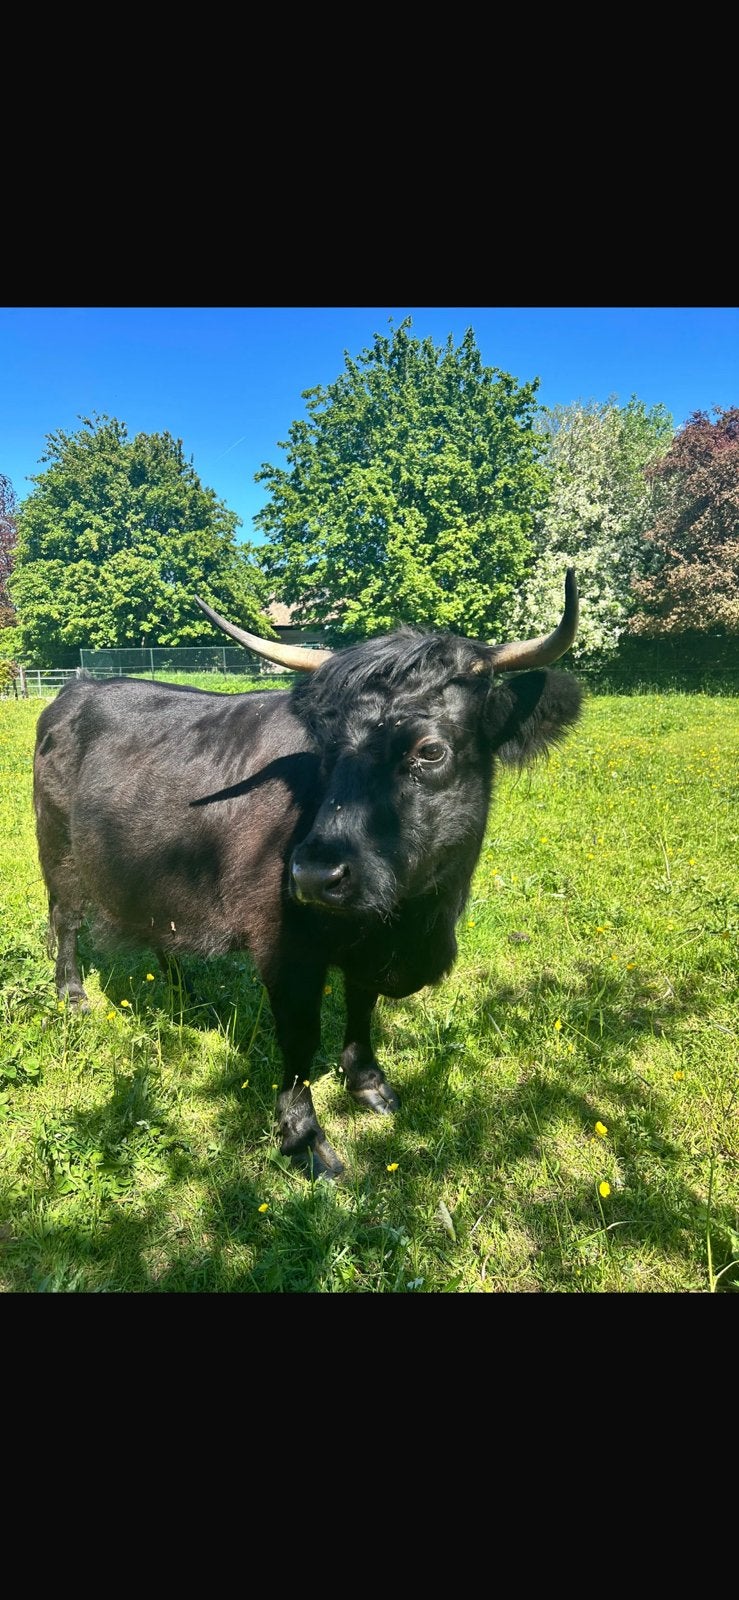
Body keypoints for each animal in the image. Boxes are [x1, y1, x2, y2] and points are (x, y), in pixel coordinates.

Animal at [33, 572, 582, 1177]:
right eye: (326, 752)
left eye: (431, 751)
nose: (315, 875)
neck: (410, 924)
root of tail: (77, 691)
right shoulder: (284, 946)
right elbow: (299, 1033)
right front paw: (303, 1135)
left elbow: (362, 1008)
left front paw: (368, 1083)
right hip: (58, 851)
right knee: (66, 920)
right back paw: (73, 995)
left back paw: (186, 995)